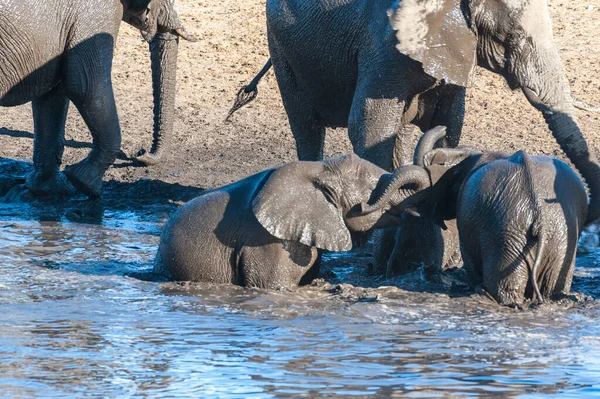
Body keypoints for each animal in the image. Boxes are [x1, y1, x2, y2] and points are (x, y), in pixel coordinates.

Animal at [0, 0, 195, 199]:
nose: (140, 153)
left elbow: (53, 95)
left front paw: (52, 190)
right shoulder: (97, 15)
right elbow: (86, 88)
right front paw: (83, 182)